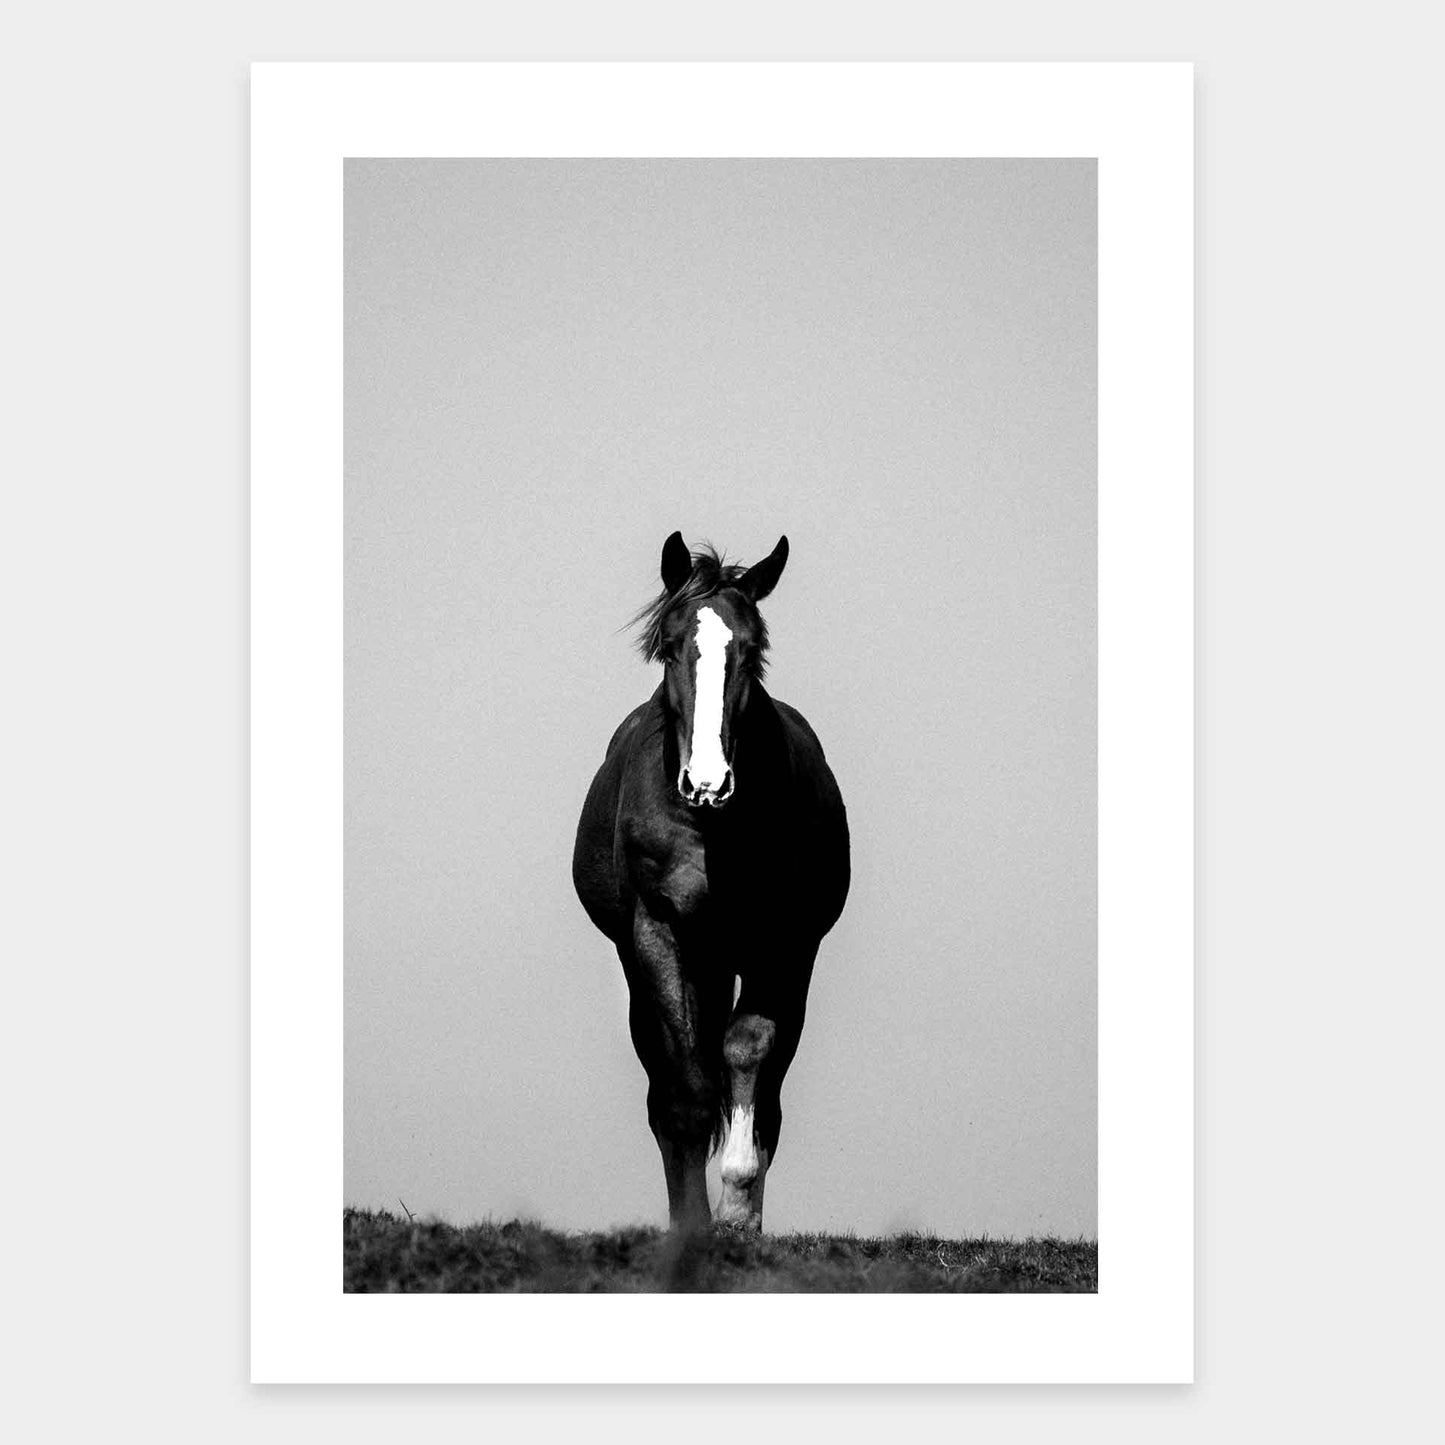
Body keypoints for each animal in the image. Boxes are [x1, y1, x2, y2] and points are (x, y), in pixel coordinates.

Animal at [572, 532, 850, 1233]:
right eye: (670, 646)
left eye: (752, 650)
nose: (707, 782)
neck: (710, 830)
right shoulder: (659, 934)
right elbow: (687, 1086)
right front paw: (694, 1224)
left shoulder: (784, 942)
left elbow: (748, 1052)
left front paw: (737, 1209)